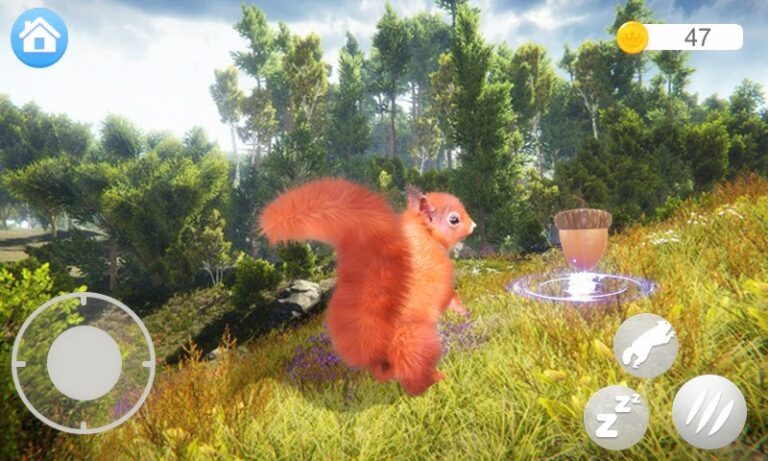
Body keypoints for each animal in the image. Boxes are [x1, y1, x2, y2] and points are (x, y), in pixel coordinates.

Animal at [259, 178, 475, 395]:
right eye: (454, 219)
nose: (473, 225)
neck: (425, 232)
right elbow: (452, 299)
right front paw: (464, 313)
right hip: (415, 341)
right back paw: (436, 381)